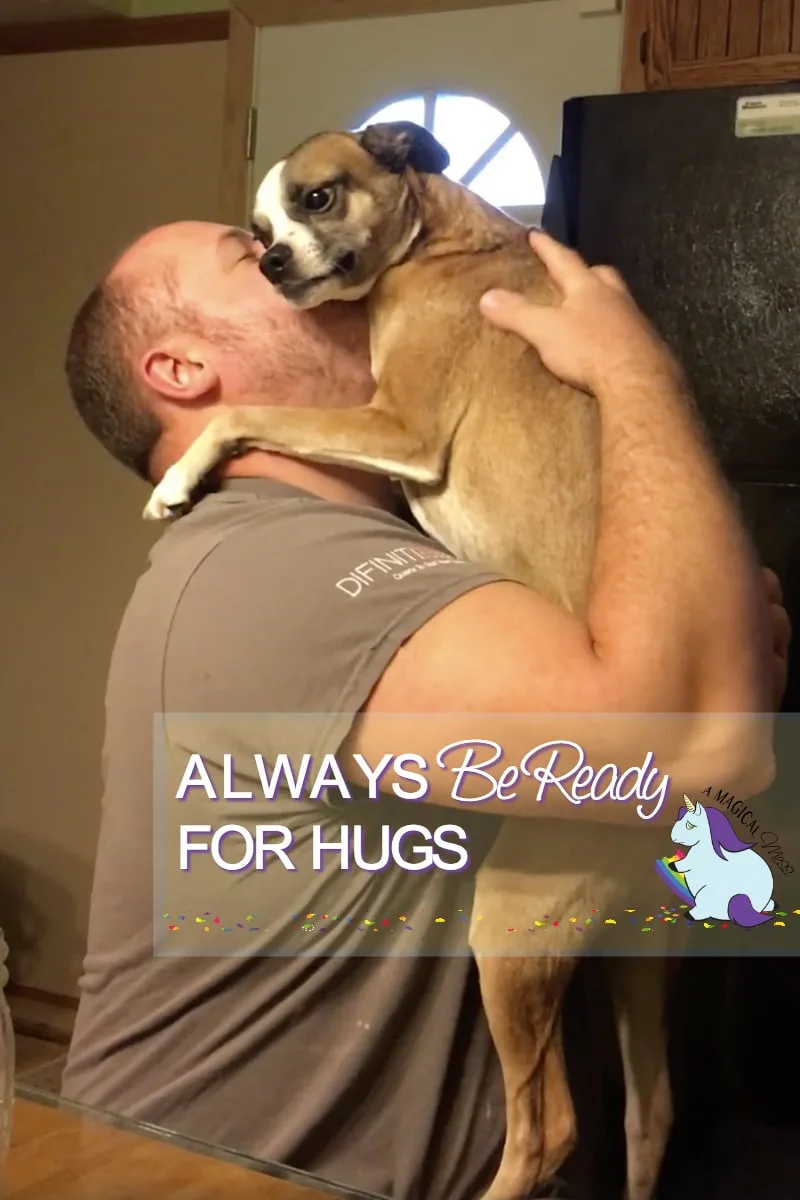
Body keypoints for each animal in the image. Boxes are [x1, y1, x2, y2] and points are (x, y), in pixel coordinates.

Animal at [145, 124, 676, 1200]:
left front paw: (178, 478)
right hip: (627, 973)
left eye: (316, 197)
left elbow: (236, 412)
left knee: (550, 1125)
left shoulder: (398, 425)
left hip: (509, 922)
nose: (269, 263)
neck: (441, 245)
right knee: (648, 1115)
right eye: (256, 229)